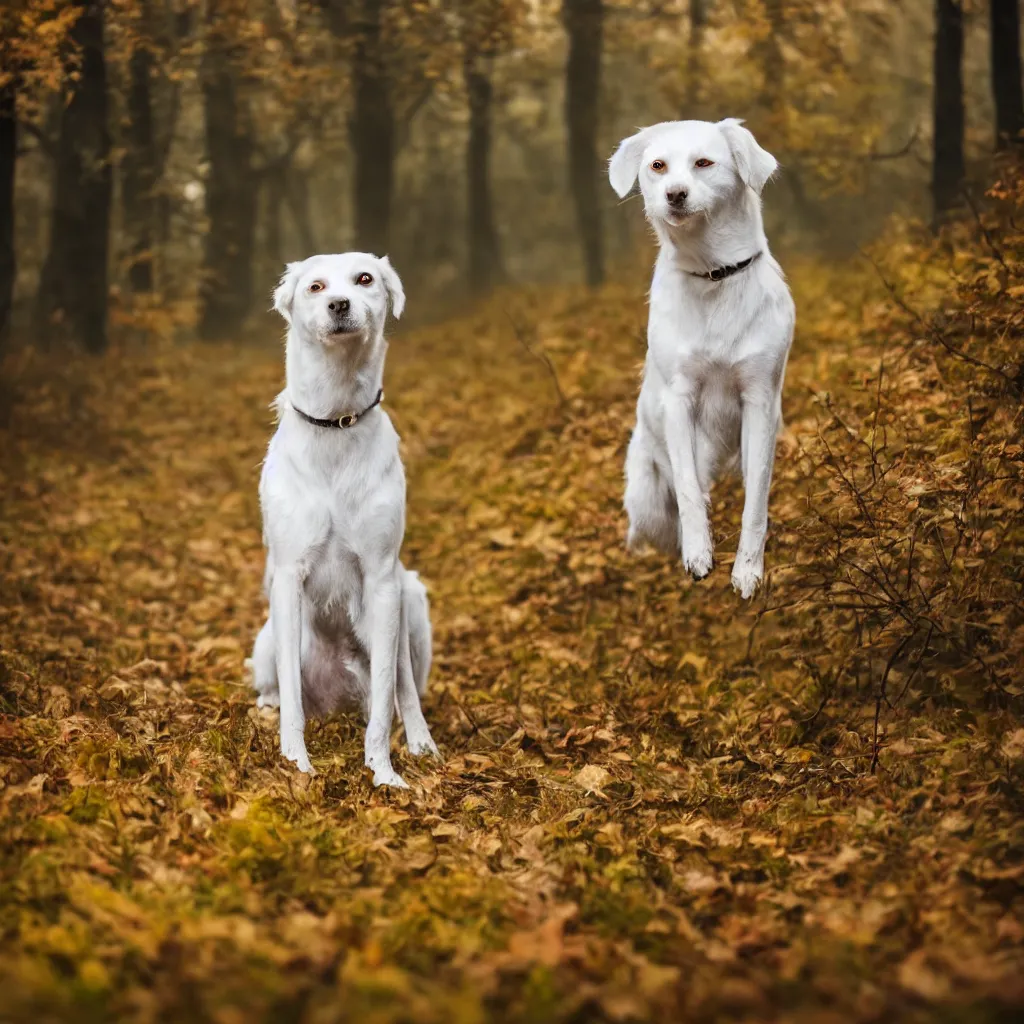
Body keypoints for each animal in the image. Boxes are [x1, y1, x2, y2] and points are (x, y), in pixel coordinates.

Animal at [251, 251, 440, 786]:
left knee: (404, 689)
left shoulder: (383, 577)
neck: (336, 422)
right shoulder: (287, 578)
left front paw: (383, 772)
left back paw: (422, 742)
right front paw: (295, 762)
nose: (339, 303)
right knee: (278, 690)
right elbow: (293, 702)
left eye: (364, 279)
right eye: (315, 286)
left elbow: (385, 701)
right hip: (265, 639)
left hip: (411, 599)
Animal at [606, 117, 790, 598]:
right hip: (647, 504)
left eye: (704, 163)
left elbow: (755, 502)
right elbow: (688, 491)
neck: (713, 274)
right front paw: (699, 553)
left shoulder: (760, 401)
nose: (674, 193)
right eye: (658, 165)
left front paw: (747, 569)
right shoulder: (679, 398)